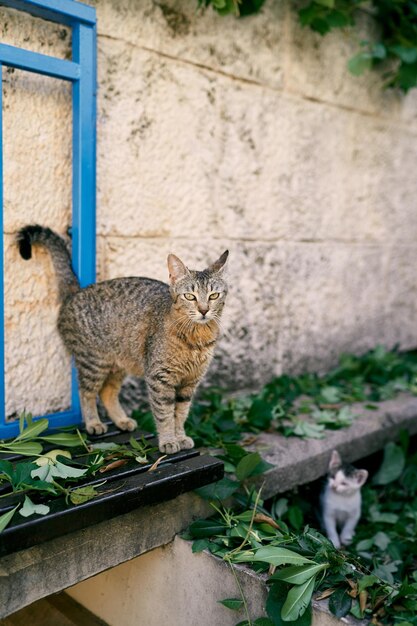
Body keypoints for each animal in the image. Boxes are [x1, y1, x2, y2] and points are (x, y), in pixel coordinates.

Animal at [17, 227, 228, 450]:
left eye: (214, 296)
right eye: (190, 297)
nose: (204, 310)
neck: (196, 337)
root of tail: (76, 292)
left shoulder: (189, 383)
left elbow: (180, 414)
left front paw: (179, 436)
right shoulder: (159, 378)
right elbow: (164, 414)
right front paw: (169, 440)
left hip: (118, 364)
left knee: (107, 393)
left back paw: (121, 420)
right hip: (94, 363)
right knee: (86, 392)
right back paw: (93, 422)